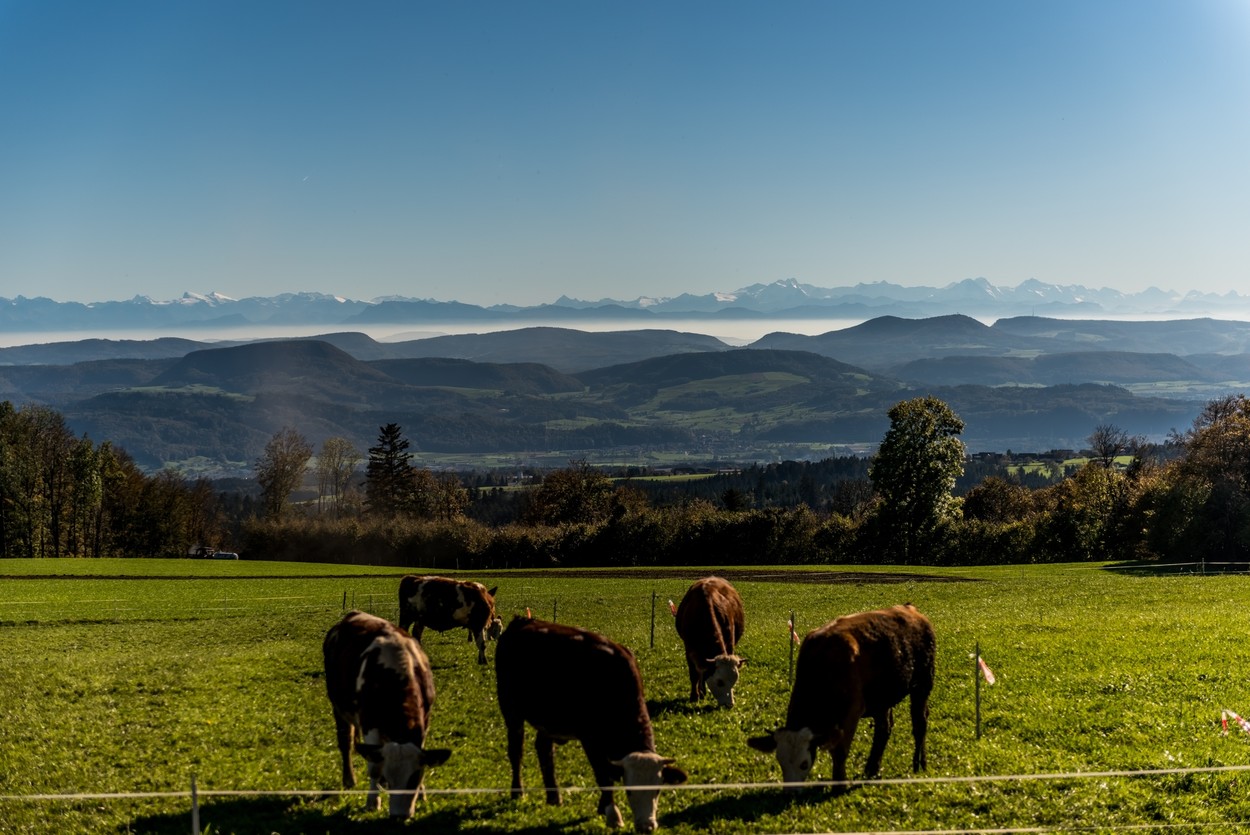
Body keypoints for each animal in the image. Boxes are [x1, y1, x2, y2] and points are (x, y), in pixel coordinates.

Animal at [322, 610, 452, 819]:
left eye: (413, 779)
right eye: (392, 782)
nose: (400, 816)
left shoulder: (425, 721)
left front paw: (422, 794)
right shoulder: (369, 723)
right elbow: (375, 767)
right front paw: (373, 802)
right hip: (339, 708)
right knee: (346, 742)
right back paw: (349, 779)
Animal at [496, 616, 688, 832]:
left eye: (657, 790)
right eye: (629, 790)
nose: (646, 826)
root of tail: (522, 621)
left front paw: (602, 807)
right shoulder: (589, 738)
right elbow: (603, 775)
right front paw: (612, 813)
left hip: (548, 721)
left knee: (544, 750)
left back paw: (554, 796)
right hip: (511, 710)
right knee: (516, 751)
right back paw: (517, 791)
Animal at [674, 576, 746, 708]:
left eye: (735, 680)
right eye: (720, 682)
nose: (729, 704)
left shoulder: (729, 644)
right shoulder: (689, 649)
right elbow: (694, 674)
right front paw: (694, 697)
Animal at [747, 603, 935, 791]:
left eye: (804, 764)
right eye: (781, 762)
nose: (790, 792)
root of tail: (910, 609)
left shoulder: (853, 710)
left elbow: (839, 751)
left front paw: (839, 784)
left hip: (922, 685)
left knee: (919, 723)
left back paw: (919, 764)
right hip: (882, 699)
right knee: (884, 729)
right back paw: (872, 769)